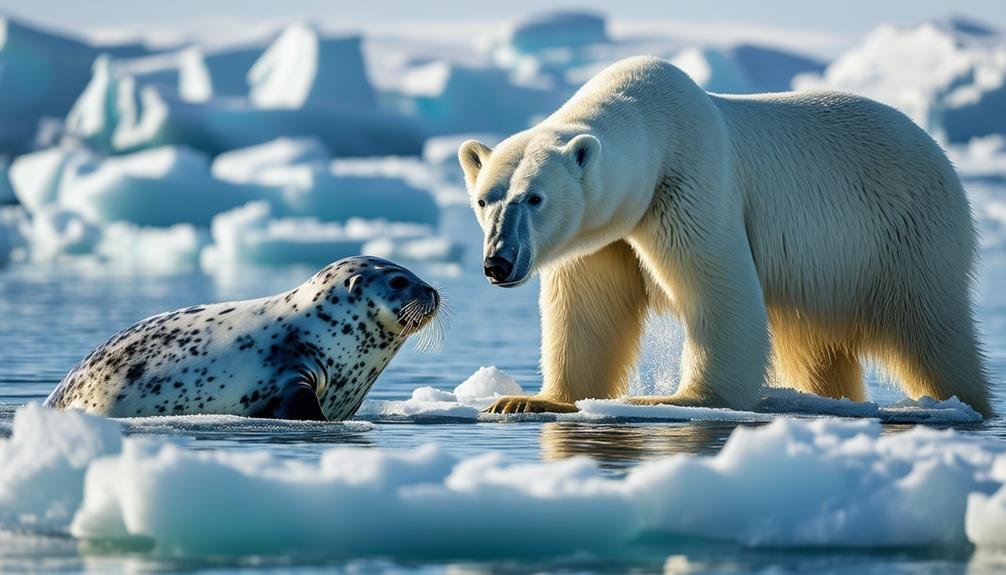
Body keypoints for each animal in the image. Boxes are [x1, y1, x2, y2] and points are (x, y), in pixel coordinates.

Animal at [460, 53, 993, 416]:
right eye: (485, 200)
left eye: (534, 198)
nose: (498, 262)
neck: (652, 120)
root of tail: (940, 155)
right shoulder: (604, 236)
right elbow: (587, 308)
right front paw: (527, 401)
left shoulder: (692, 184)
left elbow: (719, 288)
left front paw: (679, 399)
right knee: (814, 344)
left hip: (905, 234)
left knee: (929, 327)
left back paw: (960, 401)